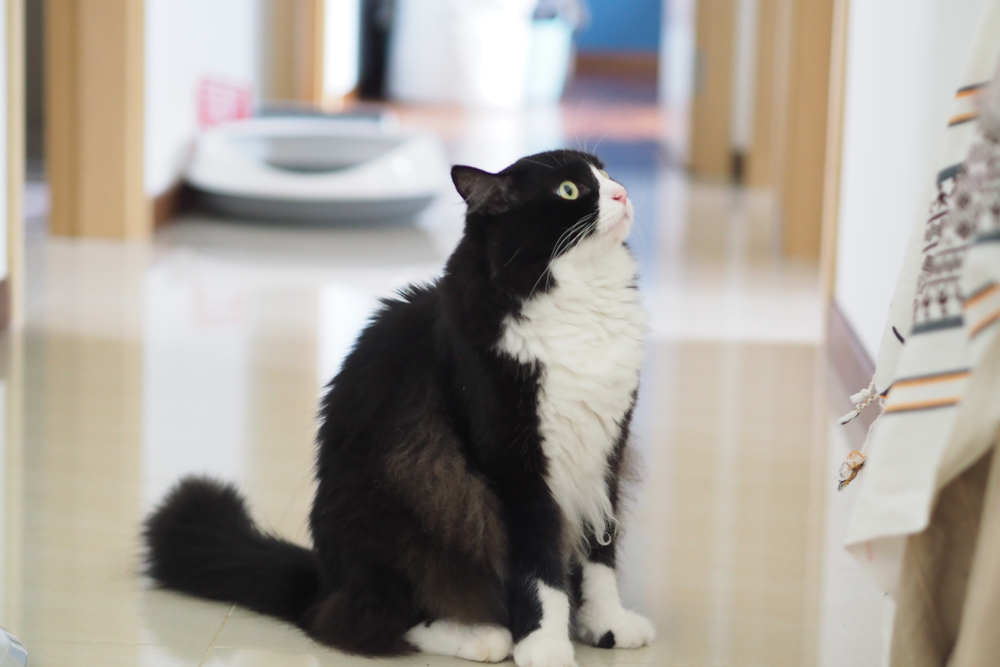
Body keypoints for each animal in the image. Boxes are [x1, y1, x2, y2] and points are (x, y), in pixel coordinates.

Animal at [143, 150, 656, 667]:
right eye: (569, 190)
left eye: (605, 172)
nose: (621, 193)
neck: (581, 306)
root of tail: (323, 580)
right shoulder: (517, 467)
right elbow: (539, 569)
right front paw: (544, 646)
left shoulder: (605, 455)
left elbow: (599, 556)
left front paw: (605, 624)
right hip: (401, 506)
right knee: (363, 623)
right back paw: (482, 635)